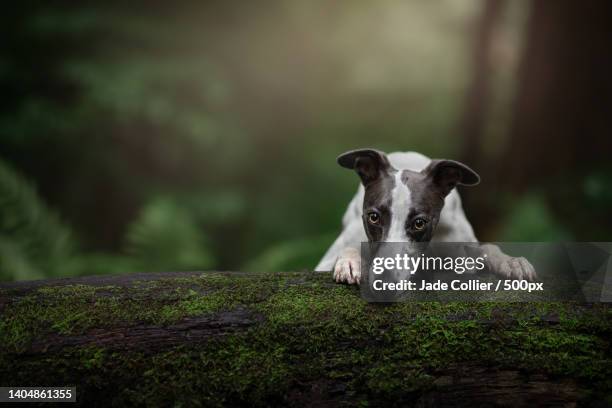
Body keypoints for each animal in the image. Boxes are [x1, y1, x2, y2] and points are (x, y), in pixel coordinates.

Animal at [316, 148, 536, 286]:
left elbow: (488, 248)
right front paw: (350, 262)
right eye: (373, 217)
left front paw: (511, 262)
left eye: (419, 223)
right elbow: (347, 250)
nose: (385, 280)